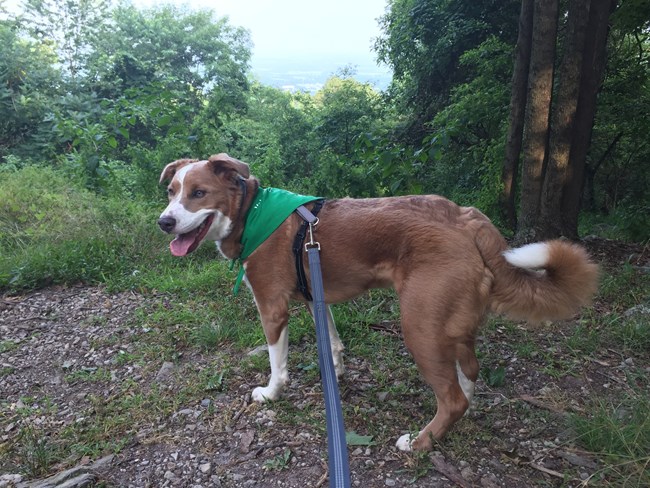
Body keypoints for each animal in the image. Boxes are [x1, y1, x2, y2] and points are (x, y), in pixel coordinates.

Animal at [156, 154, 596, 452]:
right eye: (171, 192)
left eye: (198, 194)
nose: (164, 221)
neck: (253, 212)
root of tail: (468, 219)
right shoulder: (316, 295)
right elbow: (332, 339)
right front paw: (335, 369)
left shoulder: (272, 307)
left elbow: (277, 361)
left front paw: (272, 392)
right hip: (452, 324)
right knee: (468, 374)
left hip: (420, 327)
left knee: (451, 397)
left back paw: (420, 443)